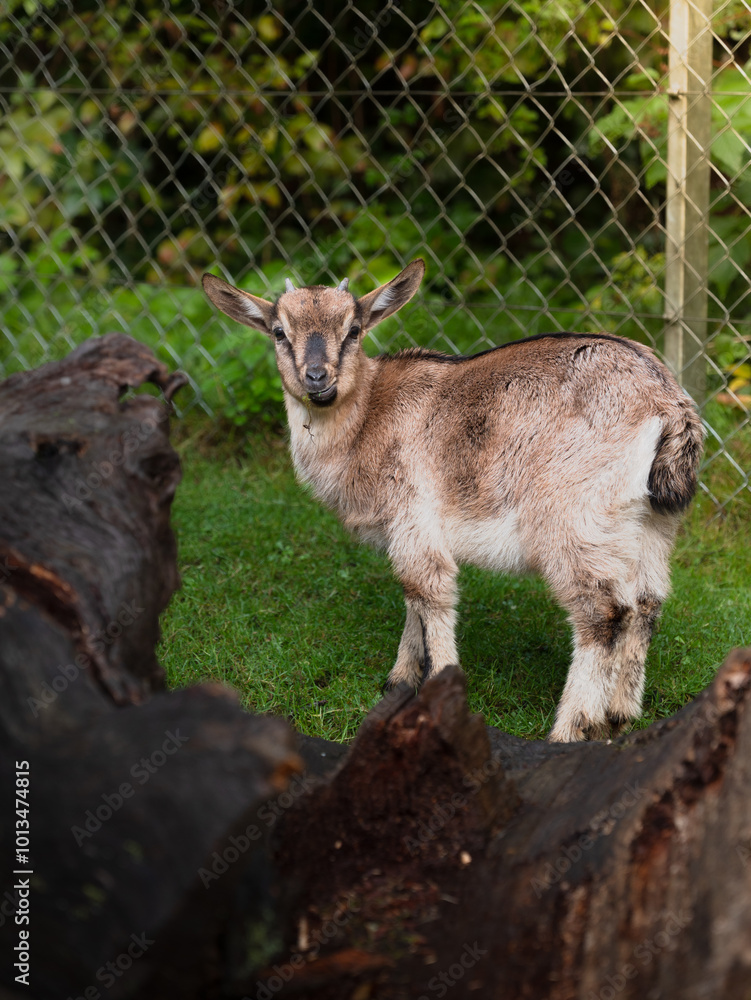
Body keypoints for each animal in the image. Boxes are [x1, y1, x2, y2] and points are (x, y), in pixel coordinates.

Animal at [202, 260, 703, 742]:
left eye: (354, 329)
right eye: (279, 331)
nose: (317, 378)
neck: (367, 419)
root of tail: (668, 404)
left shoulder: (411, 512)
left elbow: (429, 592)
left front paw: (436, 692)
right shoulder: (409, 530)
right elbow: (413, 600)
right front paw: (399, 679)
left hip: (572, 518)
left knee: (604, 612)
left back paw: (569, 730)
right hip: (650, 524)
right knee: (645, 604)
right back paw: (618, 716)